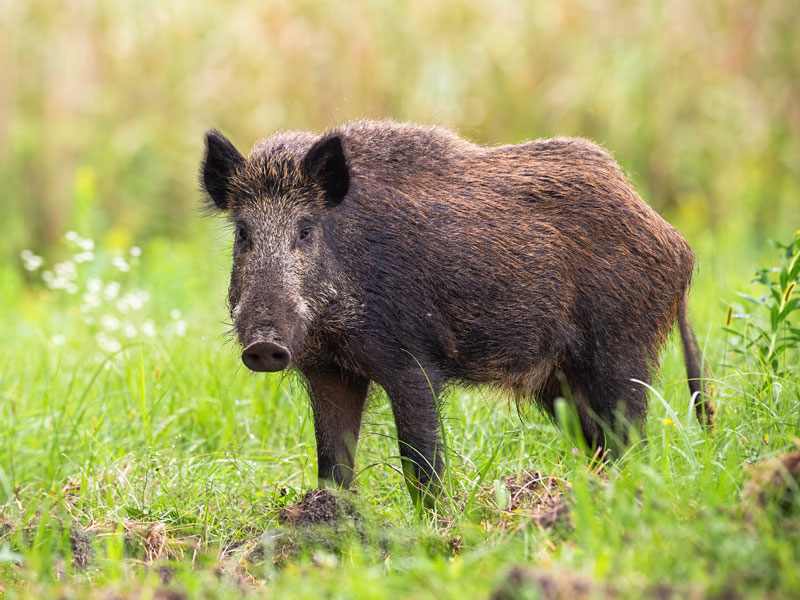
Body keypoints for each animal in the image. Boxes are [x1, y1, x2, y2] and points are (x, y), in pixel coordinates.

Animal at [200, 119, 714, 506]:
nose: (264, 344)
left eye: (305, 231)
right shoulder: (329, 372)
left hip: (620, 350)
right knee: (604, 444)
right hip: (560, 381)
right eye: (243, 233)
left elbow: (420, 462)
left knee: (633, 440)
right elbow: (333, 463)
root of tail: (676, 242)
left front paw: (434, 528)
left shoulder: (413, 362)